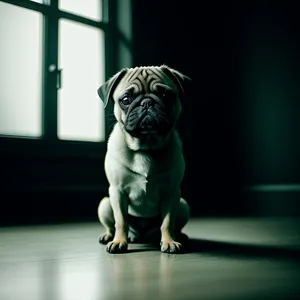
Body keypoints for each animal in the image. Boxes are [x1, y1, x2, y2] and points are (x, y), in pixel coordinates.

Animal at [96, 65, 190, 253]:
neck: (145, 148)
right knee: (112, 225)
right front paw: (119, 241)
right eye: (126, 99)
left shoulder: (172, 193)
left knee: (173, 224)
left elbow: (168, 222)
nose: (146, 102)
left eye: (165, 95)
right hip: (105, 204)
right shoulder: (117, 192)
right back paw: (109, 236)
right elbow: (120, 221)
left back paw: (178, 236)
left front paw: (169, 241)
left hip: (183, 205)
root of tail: (142, 236)